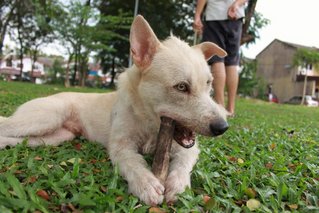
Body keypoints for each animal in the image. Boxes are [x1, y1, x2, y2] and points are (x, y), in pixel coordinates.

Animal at [0, 15, 230, 206]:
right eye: (181, 87)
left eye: (209, 83)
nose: (223, 127)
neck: (148, 121)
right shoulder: (121, 147)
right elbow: (133, 163)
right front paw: (146, 183)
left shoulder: (188, 150)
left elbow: (183, 164)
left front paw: (178, 185)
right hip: (45, 119)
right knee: (6, 125)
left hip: (55, 137)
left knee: (15, 138)